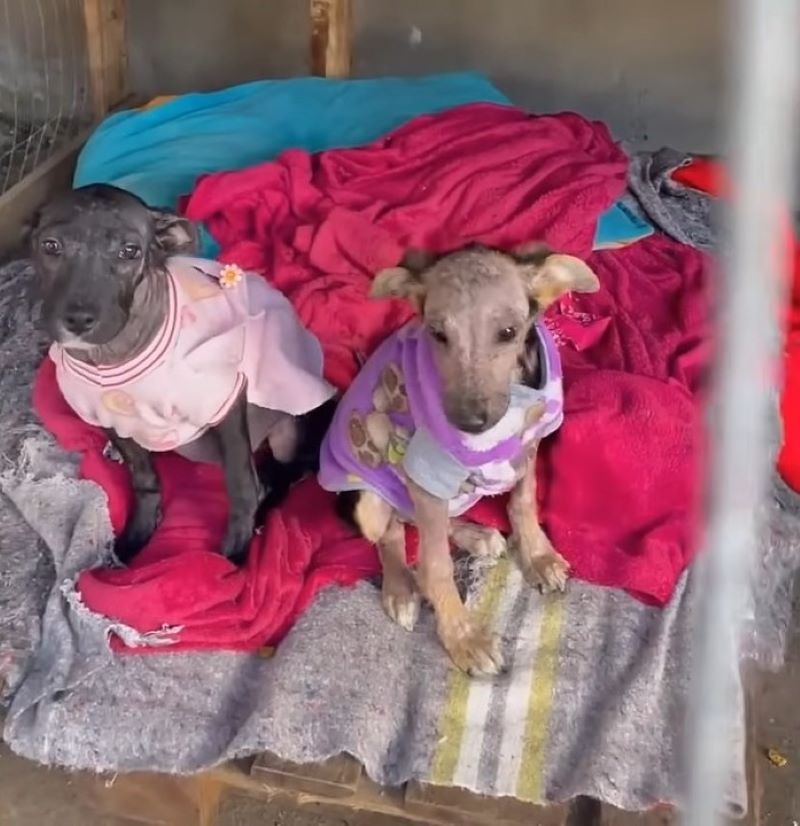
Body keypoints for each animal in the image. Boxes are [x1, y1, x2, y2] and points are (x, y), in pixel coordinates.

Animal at [29, 183, 336, 564]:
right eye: (50, 246)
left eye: (130, 251)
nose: (79, 320)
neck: (112, 357)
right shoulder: (105, 417)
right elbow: (144, 479)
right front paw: (141, 529)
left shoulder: (226, 401)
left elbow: (241, 486)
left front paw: (234, 554)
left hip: (290, 426)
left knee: (293, 469)